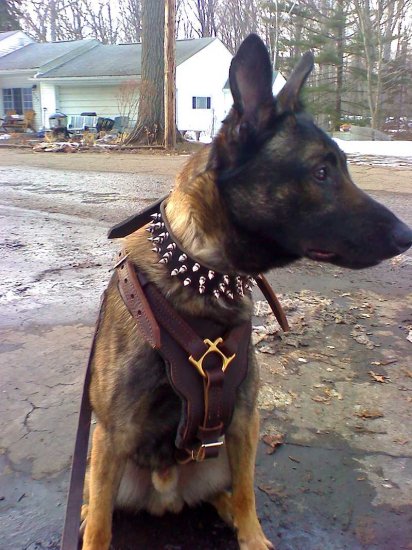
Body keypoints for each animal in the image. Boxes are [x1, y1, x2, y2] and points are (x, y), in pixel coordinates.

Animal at [80, 35, 412, 550]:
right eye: (321, 172)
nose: (407, 235)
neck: (201, 273)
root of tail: (166, 494)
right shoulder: (112, 432)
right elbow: (100, 527)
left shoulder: (242, 420)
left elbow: (248, 495)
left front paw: (253, 536)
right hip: (101, 461)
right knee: (96, 504)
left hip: (218, 460)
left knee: (231, 493)